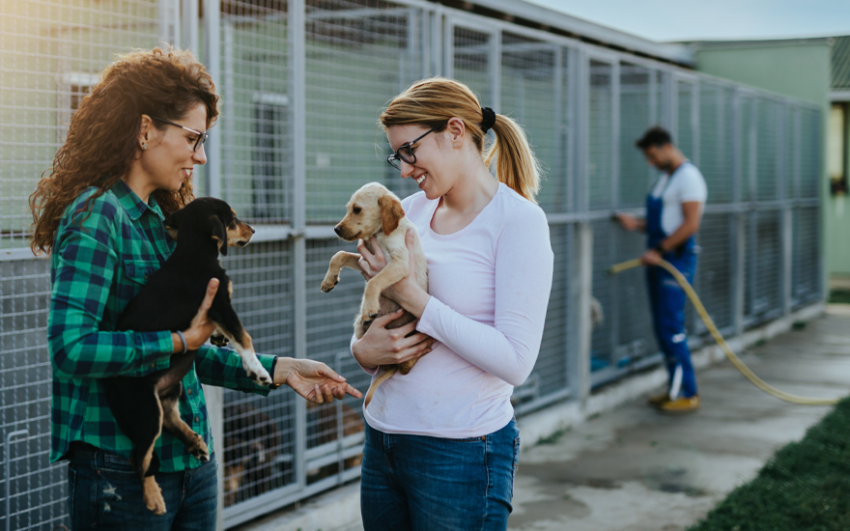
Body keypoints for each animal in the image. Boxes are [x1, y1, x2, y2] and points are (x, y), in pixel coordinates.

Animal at [105, 196, 270, 516]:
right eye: (232, 219)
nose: (254, 230)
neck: (193, 251)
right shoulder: (221, 304)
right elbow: (244, 336)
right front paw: (257, 370)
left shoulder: (218, 311)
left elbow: (230, 334)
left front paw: (219, 338)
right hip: (144, 412)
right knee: (139, 457)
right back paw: (153, 498)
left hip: (172, 388)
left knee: (170, 418)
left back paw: (195, 442)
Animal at [322, 183, 428, 408]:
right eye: (348, 208)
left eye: (357, 209)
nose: (336, 229)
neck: (381, 234)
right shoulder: (363, 259)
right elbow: (339, 255)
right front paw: (328, 281)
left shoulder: (399, 262)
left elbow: (373, 282)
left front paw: (369, 306)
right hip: (359, 327)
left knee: (406, 367)